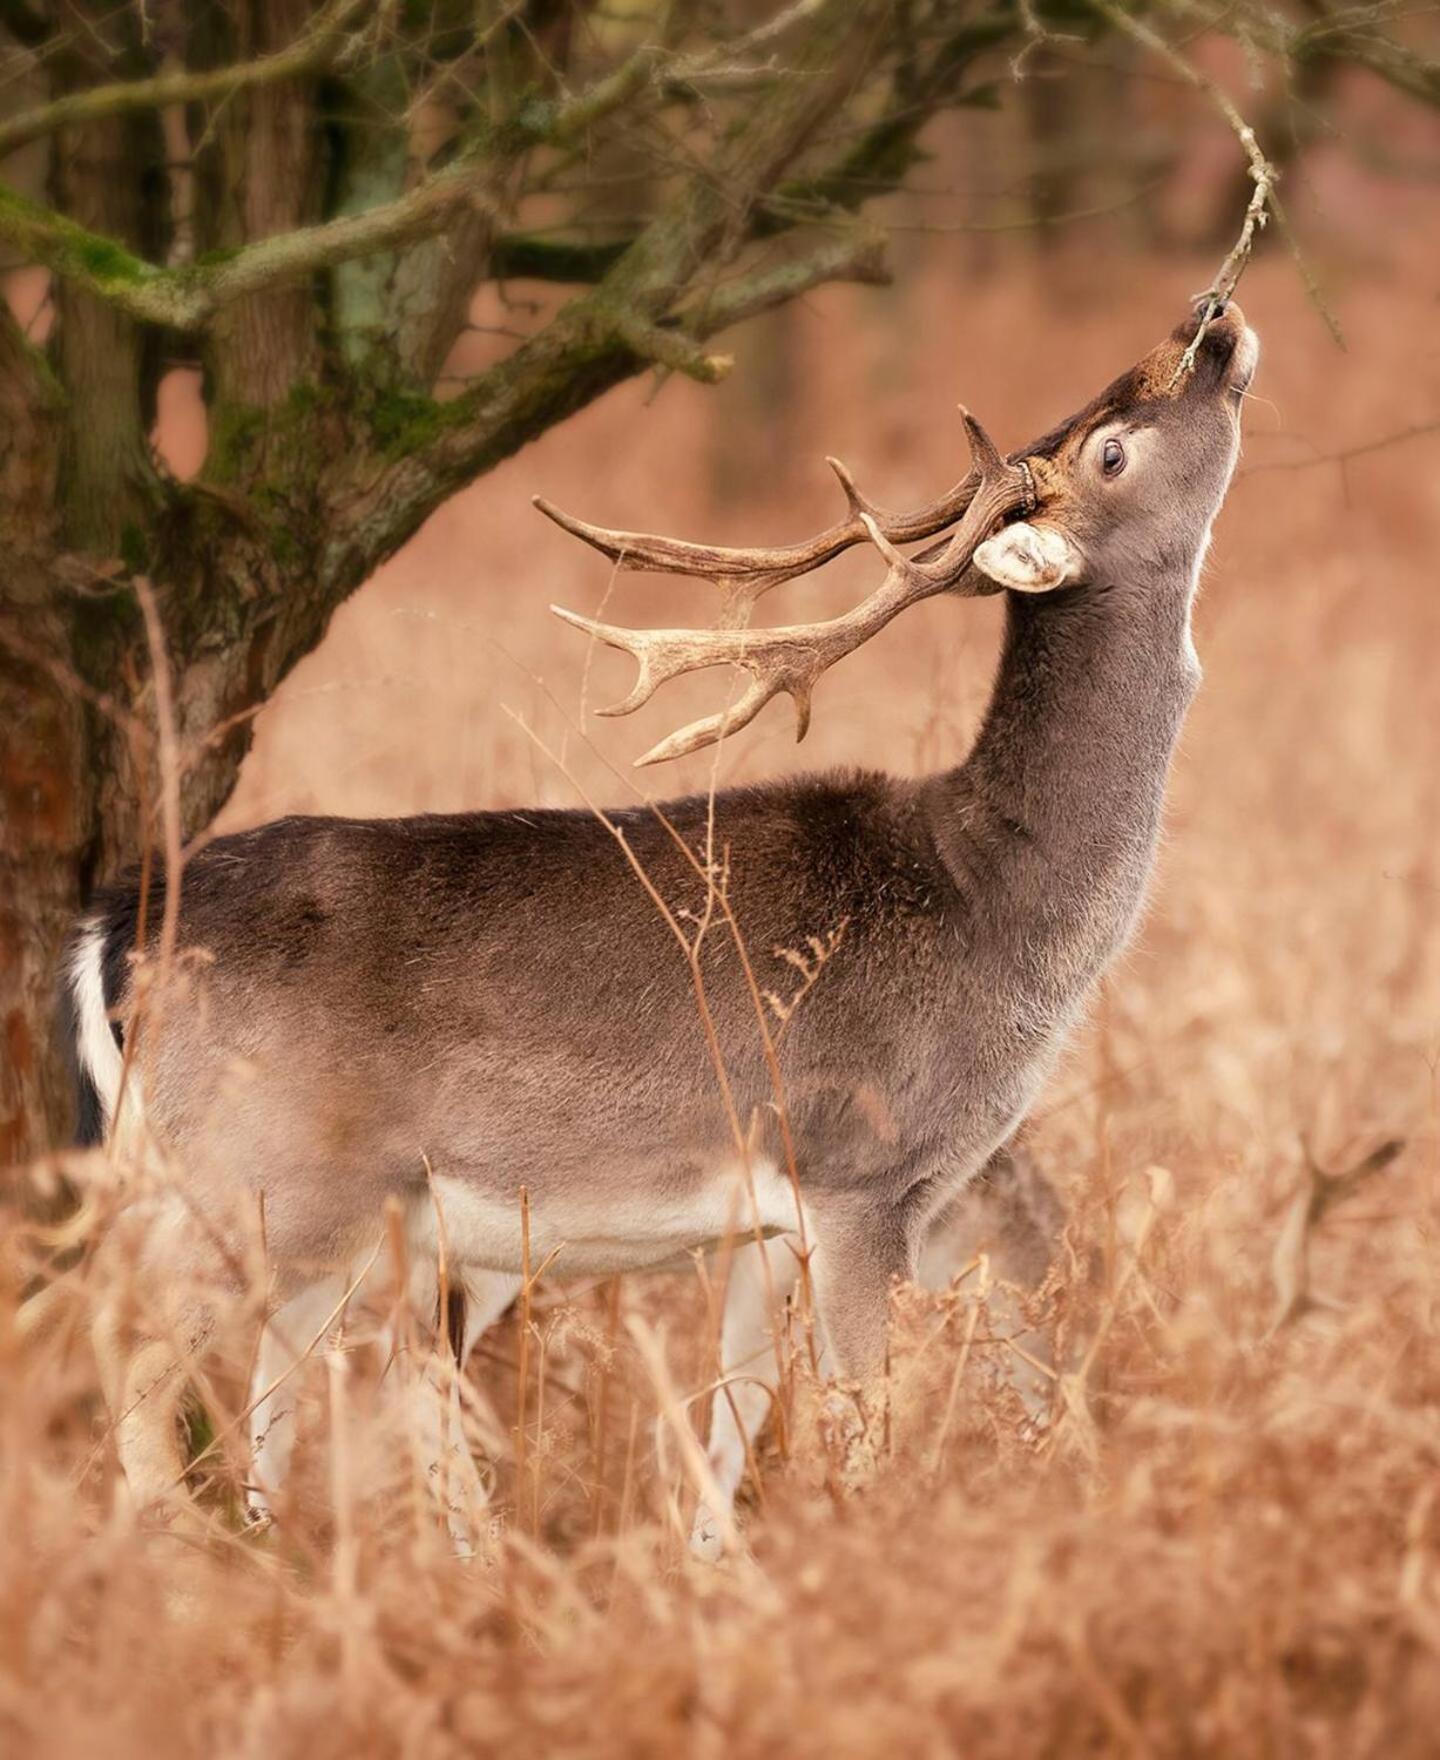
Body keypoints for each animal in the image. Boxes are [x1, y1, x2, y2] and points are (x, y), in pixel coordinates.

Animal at [58, 299, 1246, 1555]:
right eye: (1112, 449)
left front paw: (712, 1570)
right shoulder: (858, 1173)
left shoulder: (765, 1220)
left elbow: (730, 1427)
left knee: (277, 1385)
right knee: (132, 1378)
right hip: (255, 1175)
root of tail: (111, 928)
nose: (1212, 321)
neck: (989, 898)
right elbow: (860, 1430)